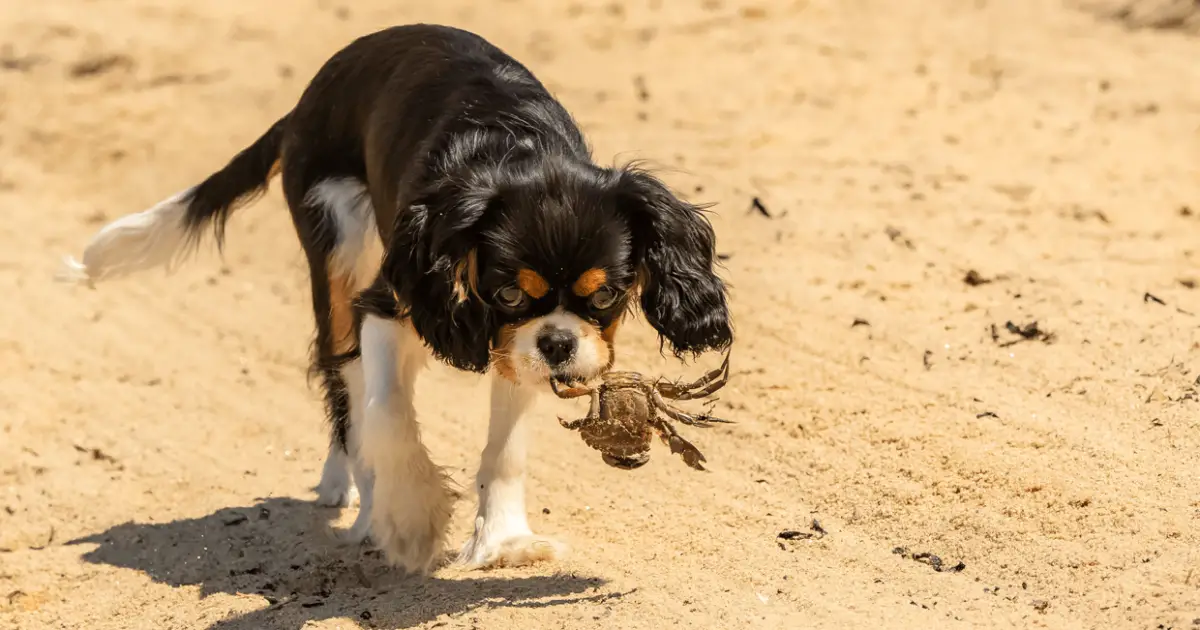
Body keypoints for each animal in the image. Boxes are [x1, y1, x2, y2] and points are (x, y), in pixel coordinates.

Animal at [63, 24, 729, 571]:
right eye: (508, 293)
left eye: (607, 295)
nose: (560, 344)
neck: (516, 154)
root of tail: (304, 104)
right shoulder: (388, 304)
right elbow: (385, 411)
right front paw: (411, 520)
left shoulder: (514, 352)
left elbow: (506, 447)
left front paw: (504, 542)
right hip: (339, 250)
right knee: (344, 384)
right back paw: (361, 500)